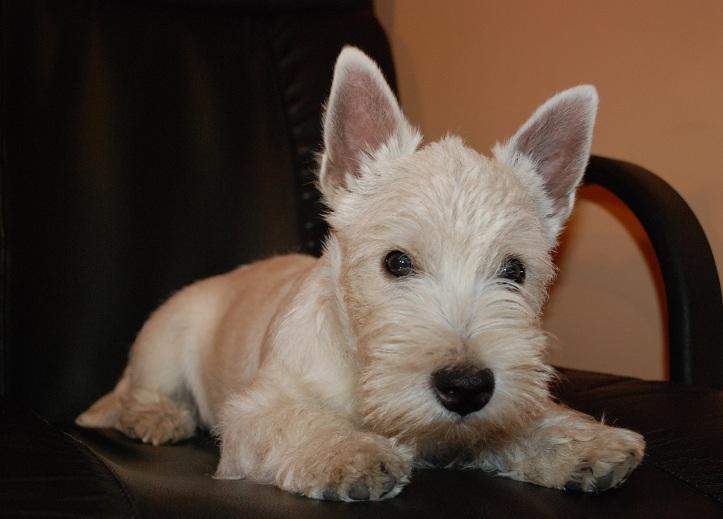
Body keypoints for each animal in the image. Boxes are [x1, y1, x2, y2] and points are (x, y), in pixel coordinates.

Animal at [78, 46, 644, 502]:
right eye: (396, 262)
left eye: (514, 269)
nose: (466, 387)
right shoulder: (255, 411)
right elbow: (298, 420)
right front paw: (348, 453)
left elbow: (511, 421)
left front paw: (581, 442)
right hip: (164, 345)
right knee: (137, 395)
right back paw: (160, 417)